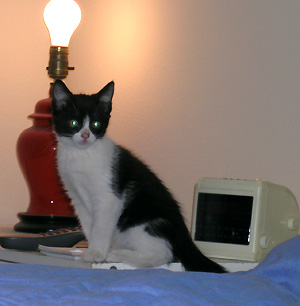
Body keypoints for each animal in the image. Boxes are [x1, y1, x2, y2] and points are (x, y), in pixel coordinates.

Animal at [51, 79, 225, 272]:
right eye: (73, 122)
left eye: (96, 124)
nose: (85, 135)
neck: (81, 155)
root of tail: (182, 232)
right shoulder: (77, 198)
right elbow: (89, 225)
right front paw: (94, 250)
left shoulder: (108, 198)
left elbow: (101, 227)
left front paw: (97, 253)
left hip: (140, 222)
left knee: (162, 254)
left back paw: (115, 254)